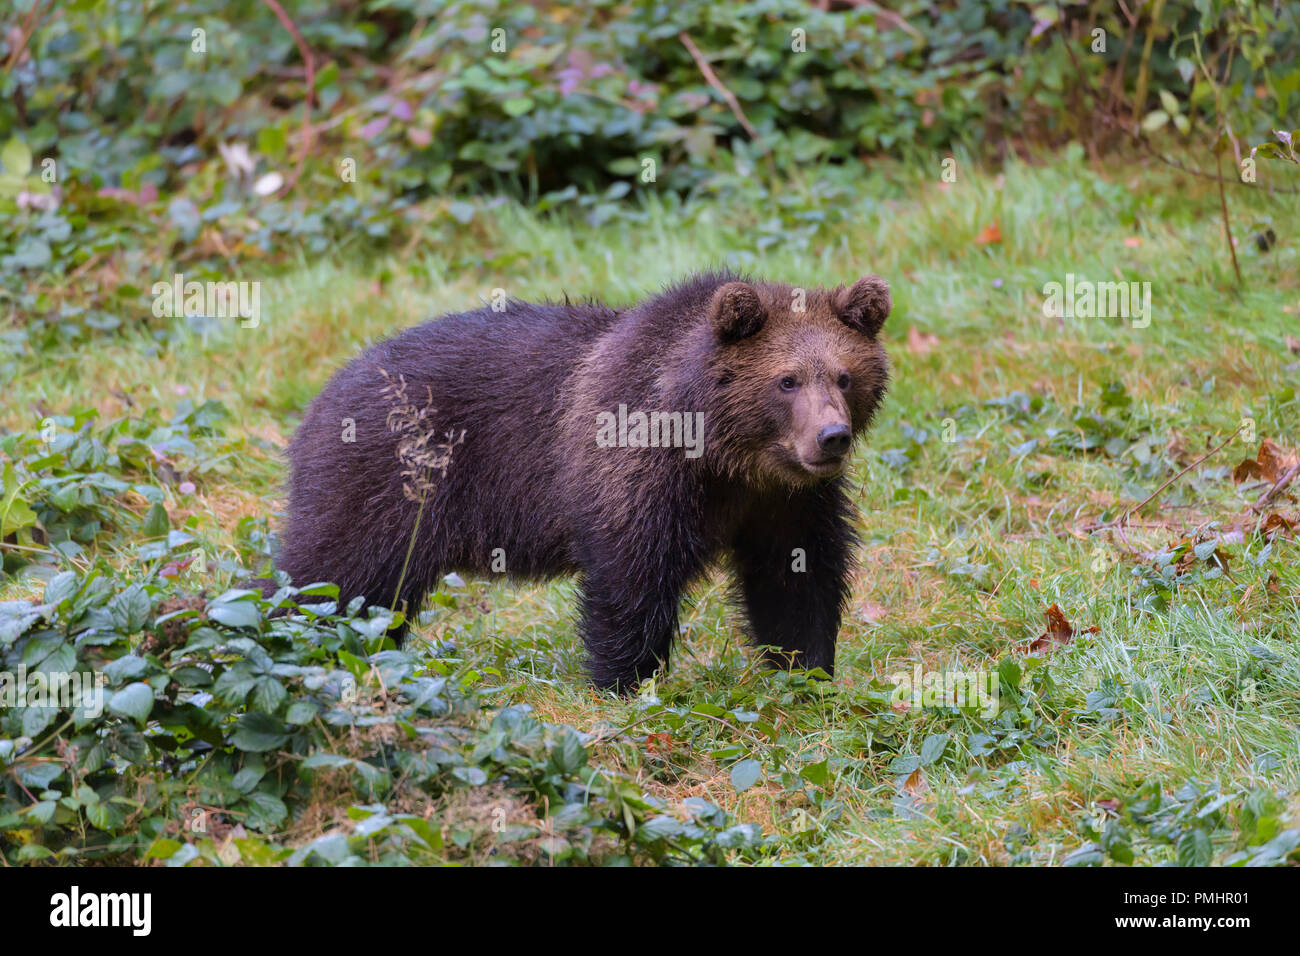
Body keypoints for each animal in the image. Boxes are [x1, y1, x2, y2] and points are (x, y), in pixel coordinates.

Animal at [268, 271, 891, 691]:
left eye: (844, 375)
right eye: (787, 380)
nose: (831, 437)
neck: (724, 454)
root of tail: (322, 395)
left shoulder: (785, 502)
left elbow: (796, 579)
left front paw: (806, 672)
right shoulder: (637, 464)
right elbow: (631, 580)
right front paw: (625, 681)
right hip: (387, 481)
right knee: (331, 577)